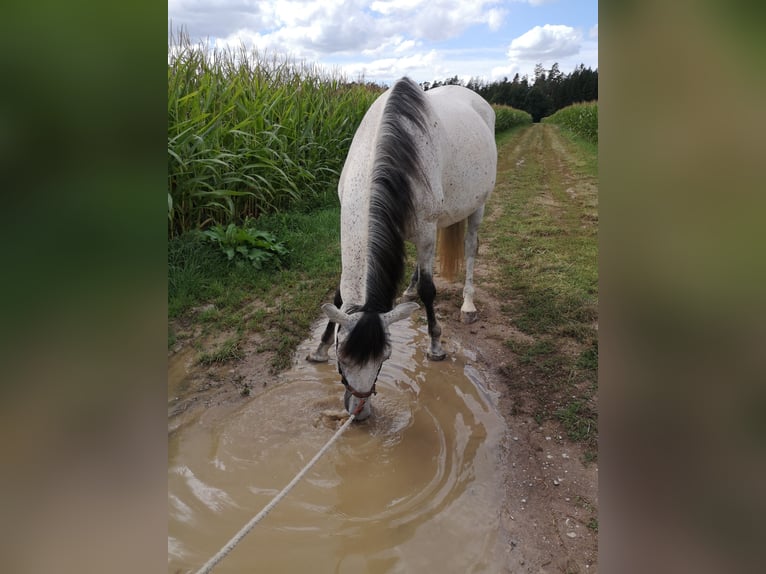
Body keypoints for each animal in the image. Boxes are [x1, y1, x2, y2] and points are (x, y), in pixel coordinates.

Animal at [307, 77, 497, 420]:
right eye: (342, 356)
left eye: (385, 357)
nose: (359, 413)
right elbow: (339, 295)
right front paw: (318, 348)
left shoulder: (426, 230)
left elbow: (429, 290)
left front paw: (436, 346)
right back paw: (407, 292)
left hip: (477, 207)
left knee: (470, 249)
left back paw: (468, 306)